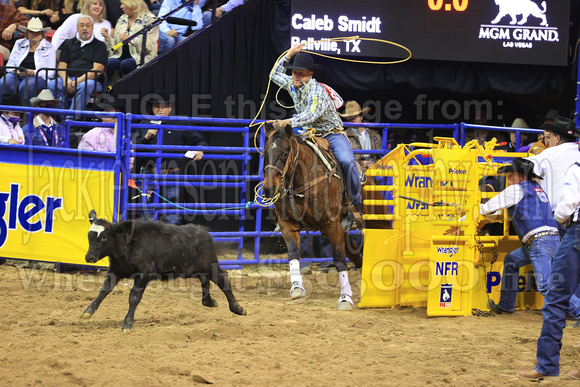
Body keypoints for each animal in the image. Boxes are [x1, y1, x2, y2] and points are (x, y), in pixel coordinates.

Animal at [262, 124, 390, 312]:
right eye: (265, 152)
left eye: (285, 153)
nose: (268, 189)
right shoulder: (287, 224)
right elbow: (293, 253)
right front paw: (297, 287)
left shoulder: (332, 225)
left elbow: (339, 260)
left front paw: (345, 299)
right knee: (356, 255)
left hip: (377, 221)